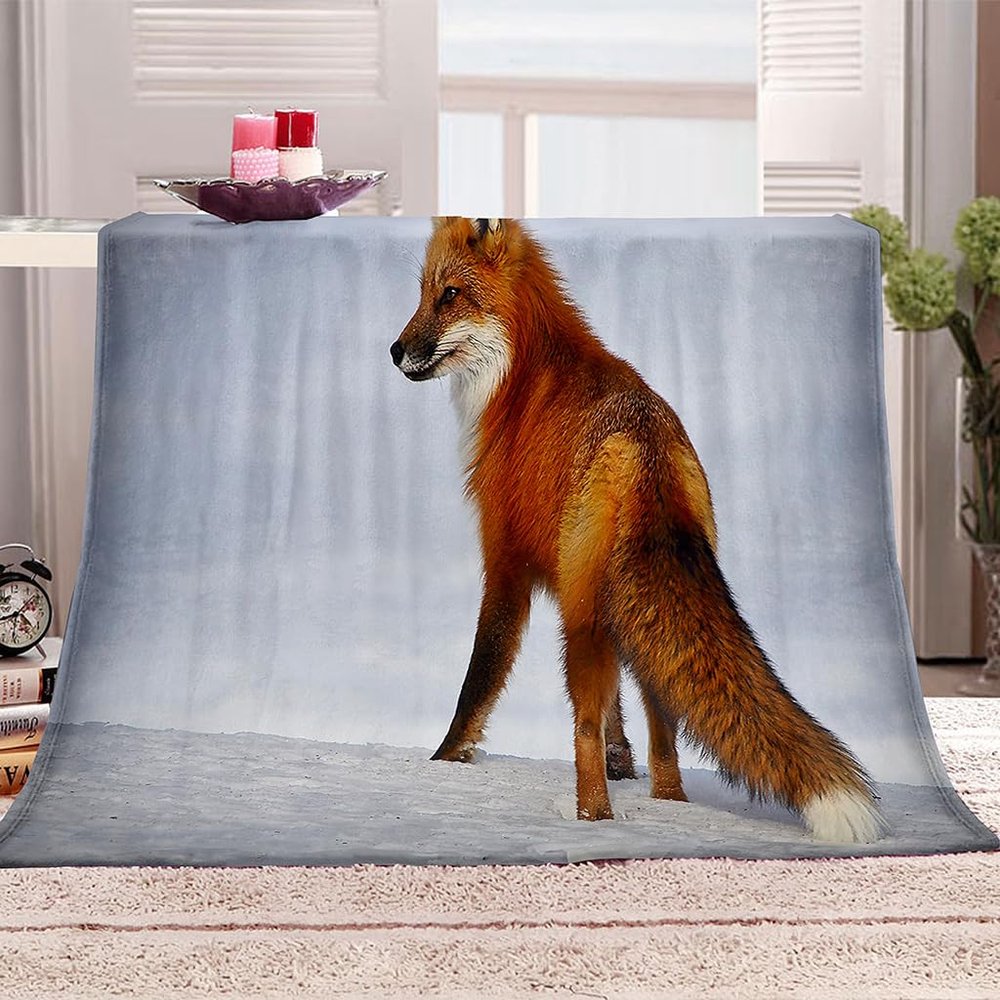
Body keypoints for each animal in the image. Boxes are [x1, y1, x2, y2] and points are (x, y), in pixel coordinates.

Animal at [390, 216, 885, 844]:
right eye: (423, 293)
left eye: (448, 295)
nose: (394, 350)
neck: (519, 375)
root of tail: (645, 446)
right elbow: (618, 718)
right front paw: (623, 762)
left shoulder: (505, 561)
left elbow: (479, 678)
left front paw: (442, 763)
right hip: (626, 615)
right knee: (663, 734)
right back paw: (666, 807)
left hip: (578, 624)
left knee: (582, 728)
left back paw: (592, 822)